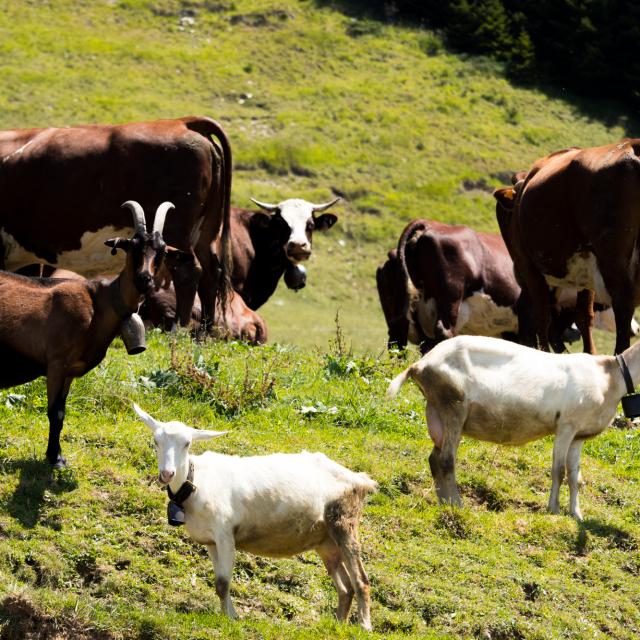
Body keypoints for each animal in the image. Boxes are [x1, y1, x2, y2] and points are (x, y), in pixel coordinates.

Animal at [0, 115, 231, 332]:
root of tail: (182, 122)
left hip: (177, 231)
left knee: (187, 271)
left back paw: (178, 329)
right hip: (206, 231)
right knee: (211, 273)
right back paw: (203, 332)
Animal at [0, 202, 180, 468]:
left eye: (162, 251)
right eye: (132, 246)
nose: (144, 279)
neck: (100, 302)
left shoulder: (69, 371)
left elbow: (62, 411)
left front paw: (56, 455)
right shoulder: (56, 363)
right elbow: (55, 412)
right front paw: (55, 459)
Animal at [134, 404, 376, 632]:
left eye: (187, 443)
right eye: (156, 441)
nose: (167, 474)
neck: (196, 482)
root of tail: (360, 479)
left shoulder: (225, 534)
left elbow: (223, 582)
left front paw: (230, 619)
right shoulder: (211, 541)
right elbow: (219, 582)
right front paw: (229, 614)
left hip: (344, 521)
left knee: (360, 580)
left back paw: (364, 625)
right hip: (325, 539)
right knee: (345, 587)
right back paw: (339, 624)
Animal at [388, 336, 636, 520]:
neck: (610, 375)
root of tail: (419, 364)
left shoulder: (579, 435)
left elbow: (575, 476)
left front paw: (576, 514)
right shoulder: (566, 425)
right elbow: (559, 470)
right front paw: (553, 510)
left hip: (440, 413)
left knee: (434, 458)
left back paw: (444, 503)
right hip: (453, 407)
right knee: (446, 460)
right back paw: (457, 505)